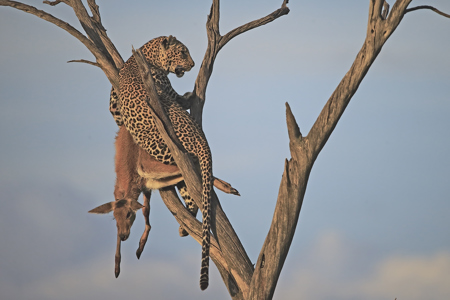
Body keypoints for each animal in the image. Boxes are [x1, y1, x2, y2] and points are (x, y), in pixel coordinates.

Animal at [117, 35, 214, 290]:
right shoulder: (164, 87)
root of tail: (202, 139)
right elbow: (177, 97)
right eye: (182, 52)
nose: (192, 64)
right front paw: (188, 96)